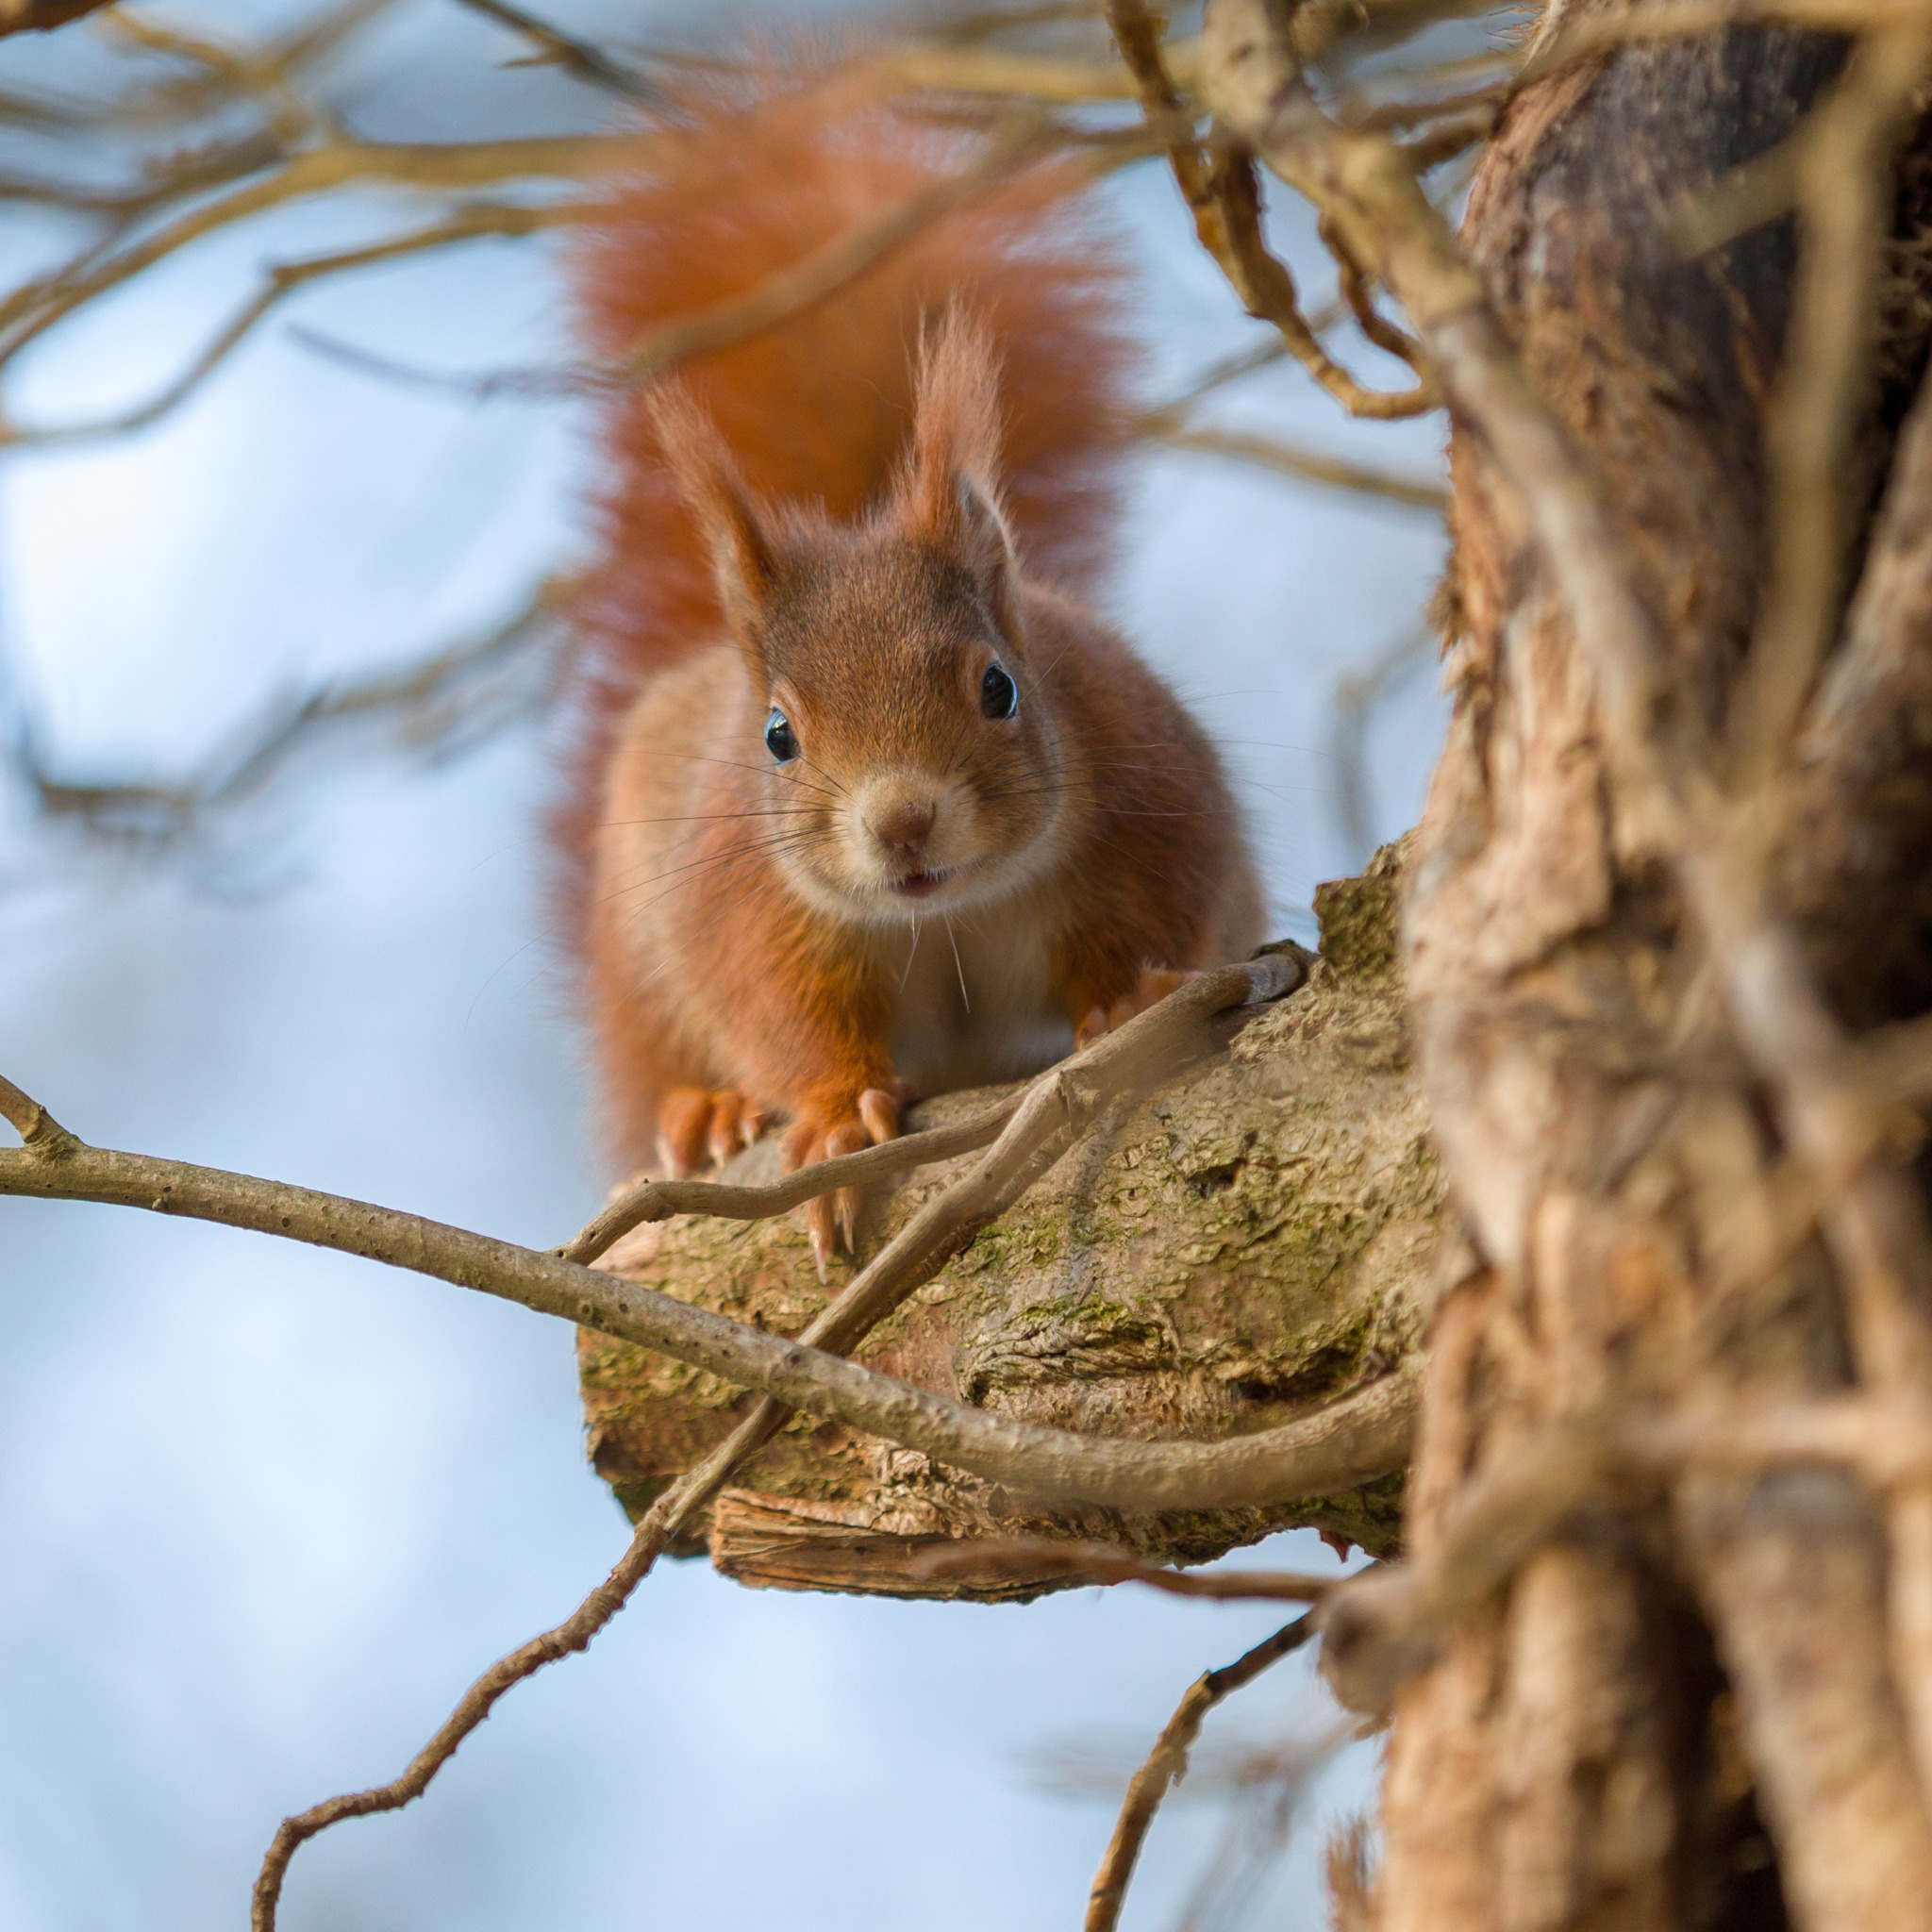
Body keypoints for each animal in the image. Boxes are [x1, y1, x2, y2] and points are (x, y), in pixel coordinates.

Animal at [556, 60, 1267, 1274]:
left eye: (999, 687)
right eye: (776, 734)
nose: (902, 821)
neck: (948, 916)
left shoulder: (1147, 787)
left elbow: (1160, 906)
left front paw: (1126, 996)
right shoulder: (743, 900)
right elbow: (778, 1010)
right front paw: (837, 1112)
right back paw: (706, 1109)